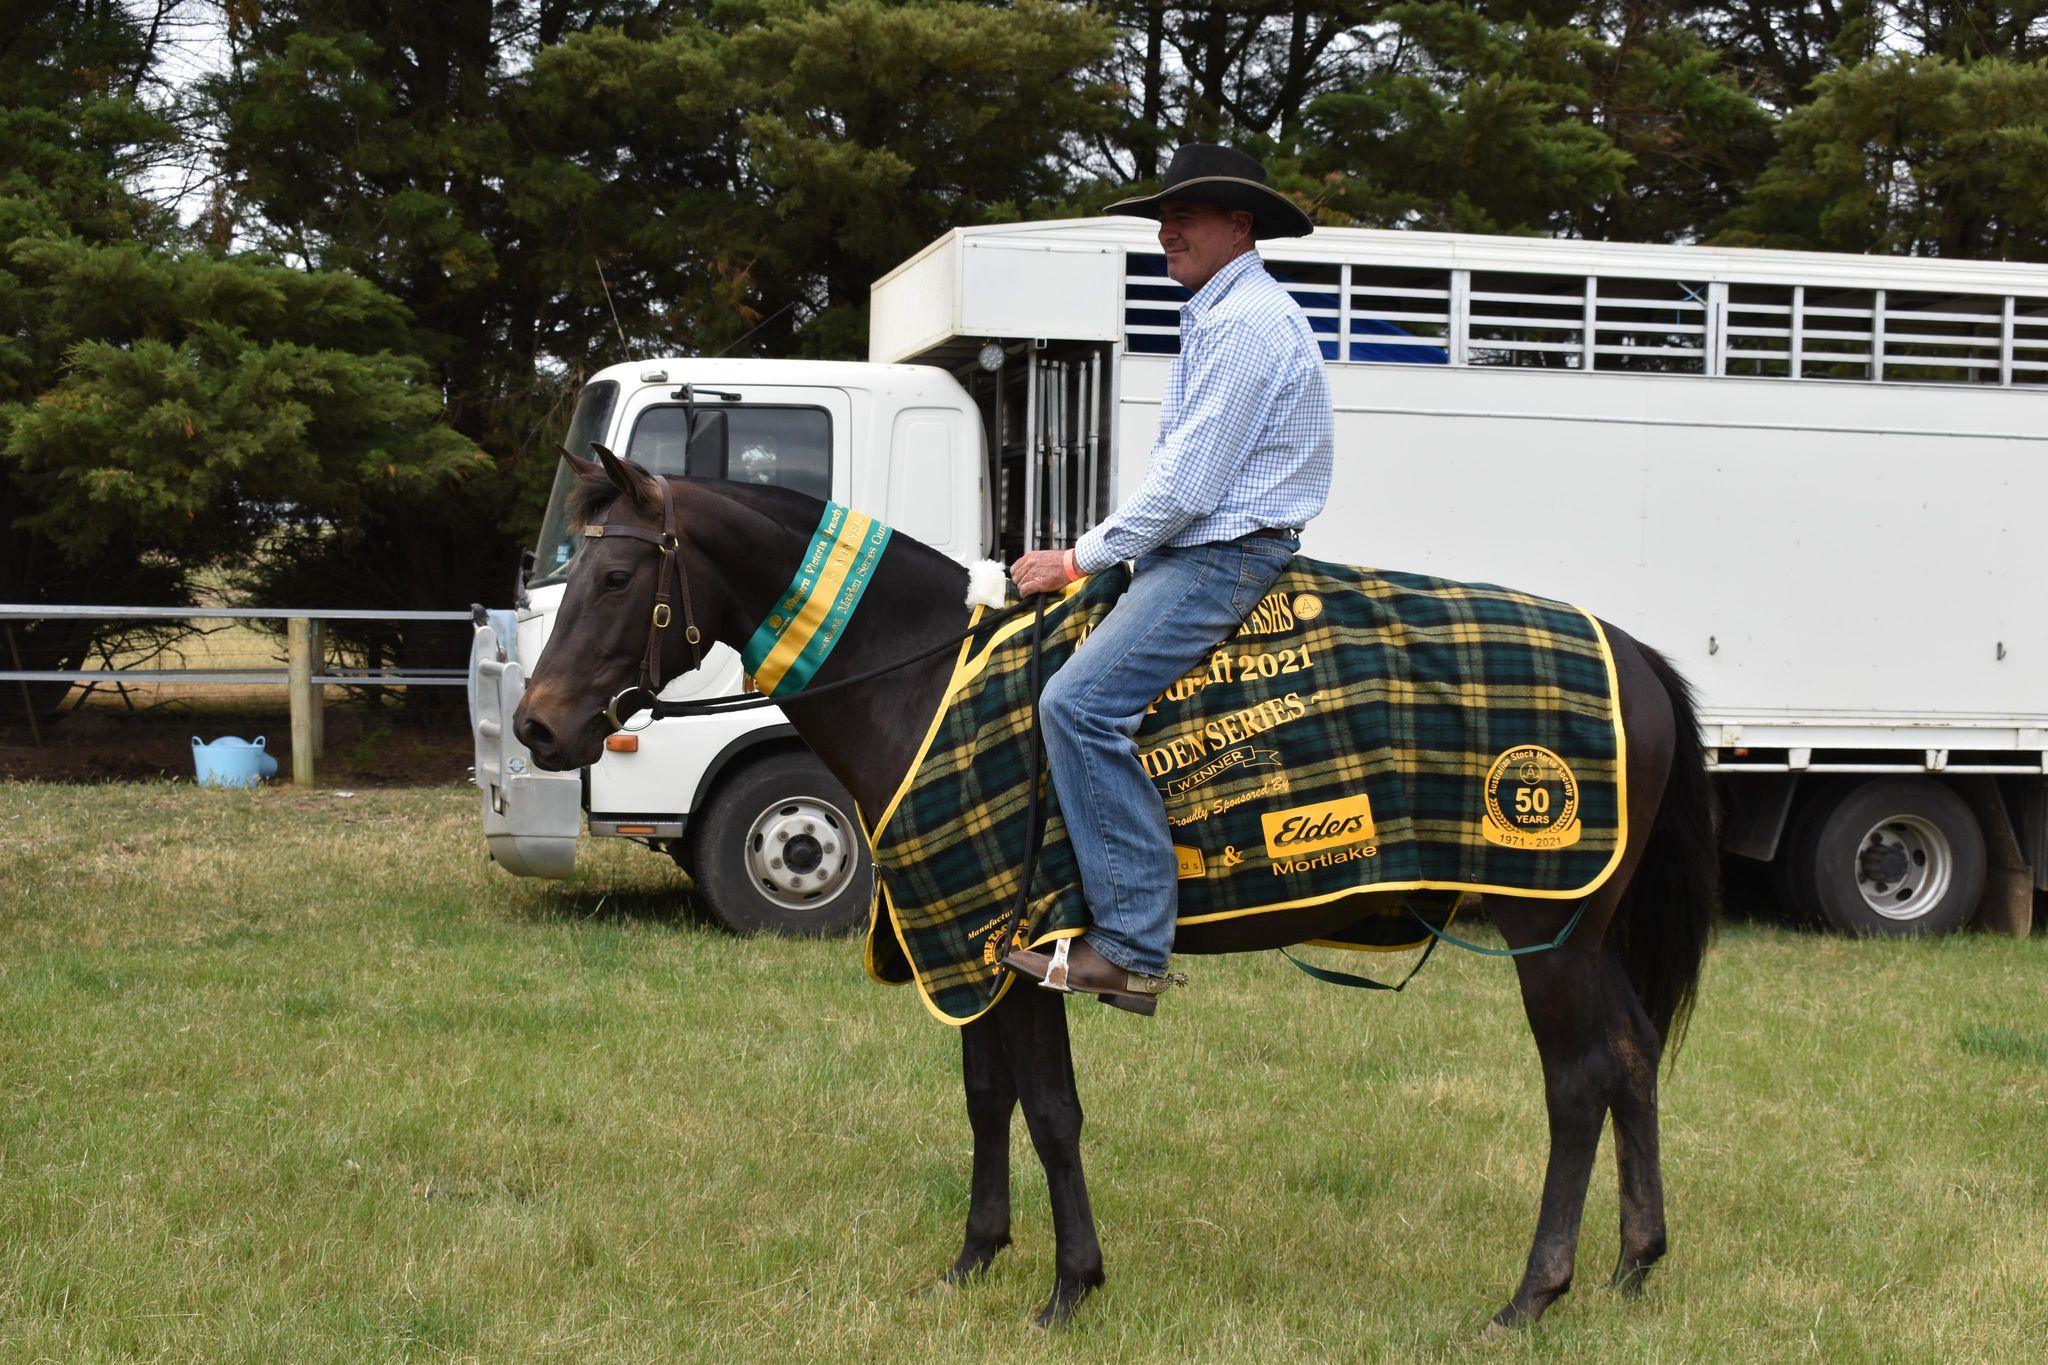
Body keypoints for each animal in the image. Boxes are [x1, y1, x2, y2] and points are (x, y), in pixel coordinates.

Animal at [512, 447, 1719, 1332]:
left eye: (615, 577)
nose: (535, 726)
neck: (920, 676)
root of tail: (1635, 657)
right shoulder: (969, 943)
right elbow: (987, 1097)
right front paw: (974, 1260)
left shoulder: (1024, 943)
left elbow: (1051, 1111)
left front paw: (1069, 1287)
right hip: (1586, 933)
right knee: (1630, 1059)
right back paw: (1633, 1266)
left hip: (1546, 928)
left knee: (1576, 1084)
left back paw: (1534, 1294)